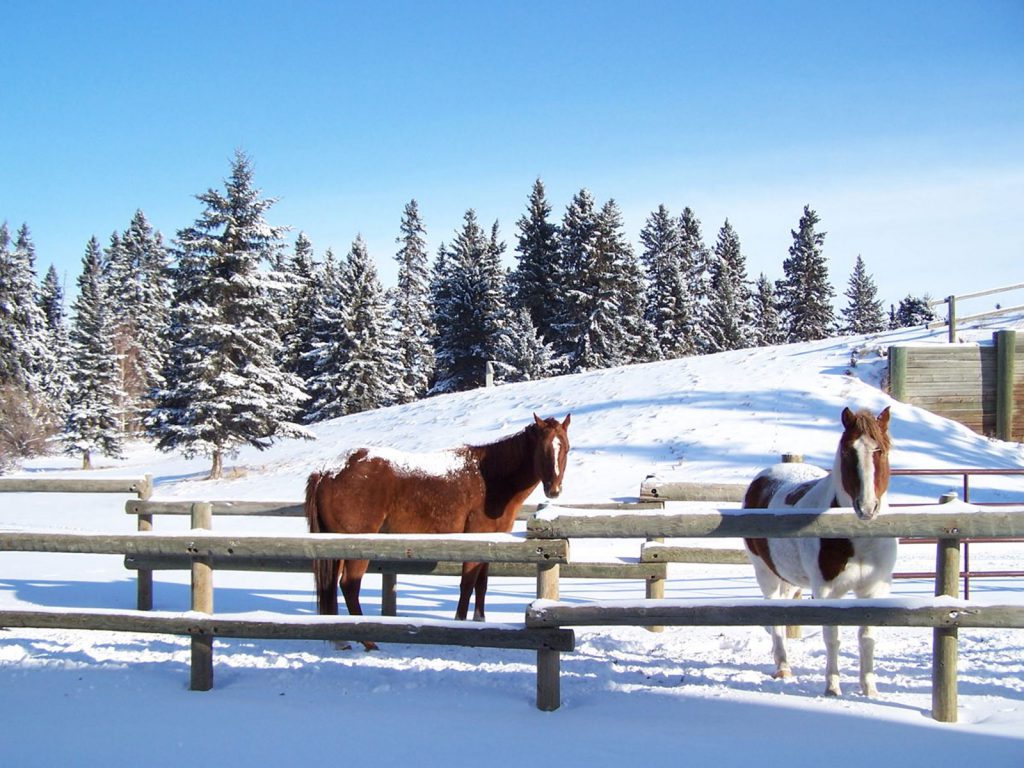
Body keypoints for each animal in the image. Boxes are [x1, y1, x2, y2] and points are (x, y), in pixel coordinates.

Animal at [303, 411, 577, 647]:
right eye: (542, 448)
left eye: (565, 448)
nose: (554, 490)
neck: (490, 479)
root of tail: (328, 471)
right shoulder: (474, 539)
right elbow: (467, 583)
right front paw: (461, 623)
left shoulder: (490, 542)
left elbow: (482, 583)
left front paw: (480, 620)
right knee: (349, 585)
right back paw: (368, 641)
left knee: (332, 587)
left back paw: (342, 640)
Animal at [745, 409, 897, 696]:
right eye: (847, 451)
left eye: (880, 450)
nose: (867, 507)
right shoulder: (826, 591)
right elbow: (832, 637)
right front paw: (832, 687)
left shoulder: (873, 589)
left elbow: (867, 638)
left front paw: (869, 689)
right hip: (765, 574)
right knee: (775, 617)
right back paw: (783, 668)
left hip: (791, 580)